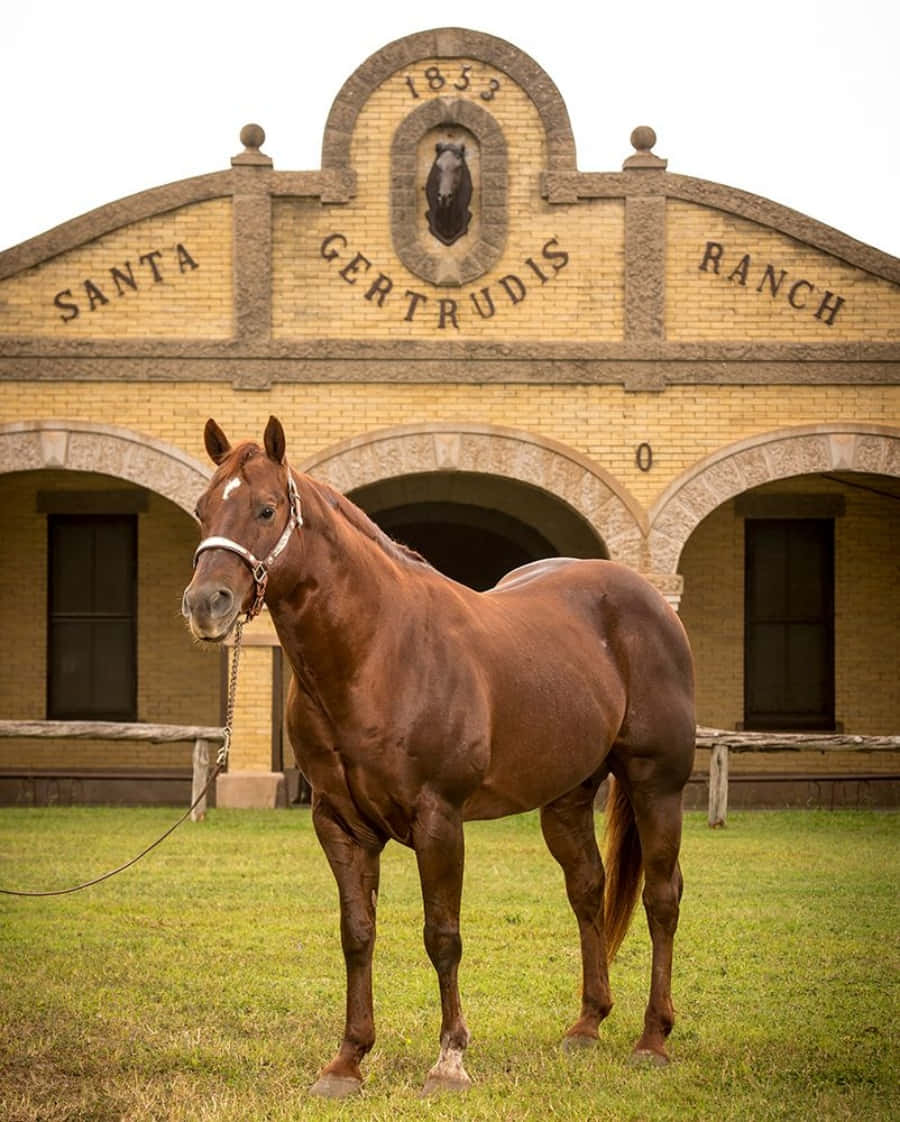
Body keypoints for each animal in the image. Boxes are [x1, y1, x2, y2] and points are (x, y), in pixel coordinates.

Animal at [181, 416, 696, 1098]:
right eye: (202, 508)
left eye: (266, 508)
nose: (204, 604)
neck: (378, 653)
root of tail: (648, 598)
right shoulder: (338, 824)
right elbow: (357, 934)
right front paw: (347, 1061)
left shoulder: (439, 820)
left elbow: (442, 936)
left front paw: (449, 1061)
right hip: (566, 798)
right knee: (588, 889)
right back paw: (586, 1027)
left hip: (656, 785)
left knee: (662, 899)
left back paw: (652, 1040)